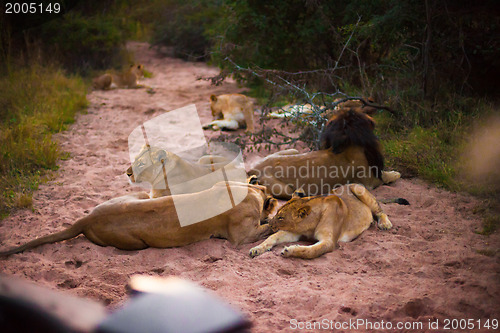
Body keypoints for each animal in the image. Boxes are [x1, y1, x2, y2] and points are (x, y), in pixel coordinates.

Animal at [0, 180, 278, 255]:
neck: (250, 191)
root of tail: (86, 219)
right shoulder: (241, 236)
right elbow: (266, 227)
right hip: (136, 243)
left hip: (139, 195)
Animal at [248, 108, 400, 200]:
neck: (348, 145)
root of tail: (253, 169)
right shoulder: (369, 181)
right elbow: (387, 176)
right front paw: (395, 173)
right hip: (283, 189)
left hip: (292, 151)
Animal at [250, 183, 394, 258]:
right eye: (277, 213)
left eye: (280, 217)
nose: (269, 223)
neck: (310, 225)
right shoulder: (294, 232)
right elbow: (273, 237)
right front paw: (257, 249)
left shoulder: (329, 242)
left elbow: (310, 251)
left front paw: (289, 250)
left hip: (359, 190)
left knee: (380, 211)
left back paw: (385, 224)